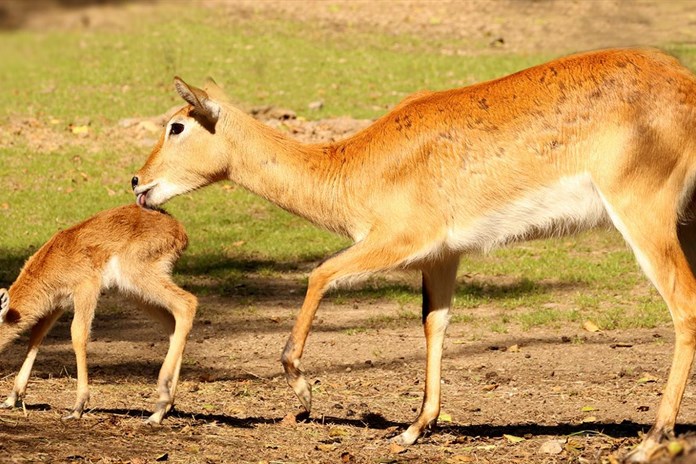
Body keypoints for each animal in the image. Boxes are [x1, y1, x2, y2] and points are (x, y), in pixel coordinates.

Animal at [0, 204, 197, 424]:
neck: (52, 262)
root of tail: (178, 229)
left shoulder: (86, 288)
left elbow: (78, 335)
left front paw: (77, 407)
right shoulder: (57, 304)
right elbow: (36, 336)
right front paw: (11, 398)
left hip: (138, 276)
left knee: (187, 303)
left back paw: (158, 409)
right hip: (135, 292)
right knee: (172, 323)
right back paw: (164, 407)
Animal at [133, 47, 696, 460]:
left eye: (177, 125)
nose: (138, 182)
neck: (349, 167)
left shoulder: (398, 240)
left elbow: (320, 273)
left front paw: (303, 393)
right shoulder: (443, 256)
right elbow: (434, 322)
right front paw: (413, 428)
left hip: (642, 212)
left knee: (683, 303)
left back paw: (650, 441)